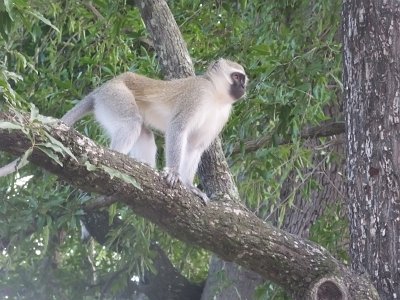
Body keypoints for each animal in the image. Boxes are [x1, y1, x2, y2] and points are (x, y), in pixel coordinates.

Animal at [0, 58, 248, 202]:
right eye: (237, 76)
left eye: (243, 79)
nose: (244, 87)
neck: (215, 96)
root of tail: (101, 89)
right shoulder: (197, 94)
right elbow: (177, 129)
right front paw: (174, 174)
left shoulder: (221, 115)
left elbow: (195, 146)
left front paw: (189, 186)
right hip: (115, 97)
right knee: (131, 122)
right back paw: (117, 162)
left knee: (143, 133)